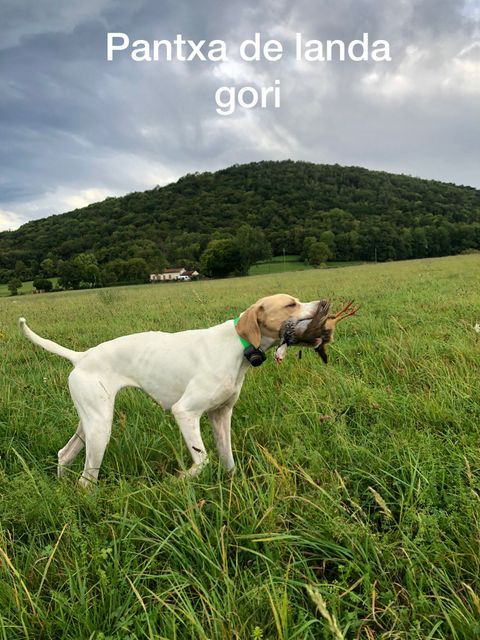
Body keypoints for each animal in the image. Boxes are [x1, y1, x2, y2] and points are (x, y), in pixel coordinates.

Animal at [18, 294, 320, 484]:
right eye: (290, 304)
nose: (322, 304)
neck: (238, 345)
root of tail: (81, 357)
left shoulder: (220, 416)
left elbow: (228, 461)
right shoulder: (185, 412)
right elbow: (203, 461)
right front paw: (180, 479)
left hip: (91, 423)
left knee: (64, 454)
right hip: (100, 429)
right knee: (85, 479)